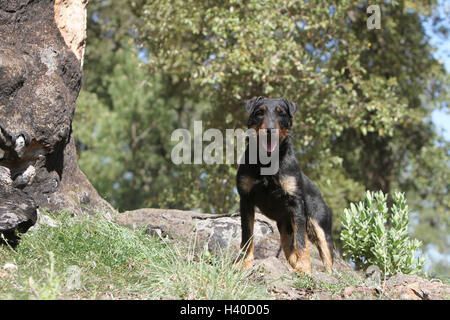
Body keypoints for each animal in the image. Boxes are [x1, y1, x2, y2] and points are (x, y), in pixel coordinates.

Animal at [237, 96, 332, 274]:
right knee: (290, 251)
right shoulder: (245, 200)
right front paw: (244, 264)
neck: (268, 161)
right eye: (260, 112)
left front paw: (304, 268)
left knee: (327, 256)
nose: (270, 130)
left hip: (320, 226)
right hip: (286, 229)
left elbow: (302, 241)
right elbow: (247, 236)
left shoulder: (296, 204)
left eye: (281, 113)